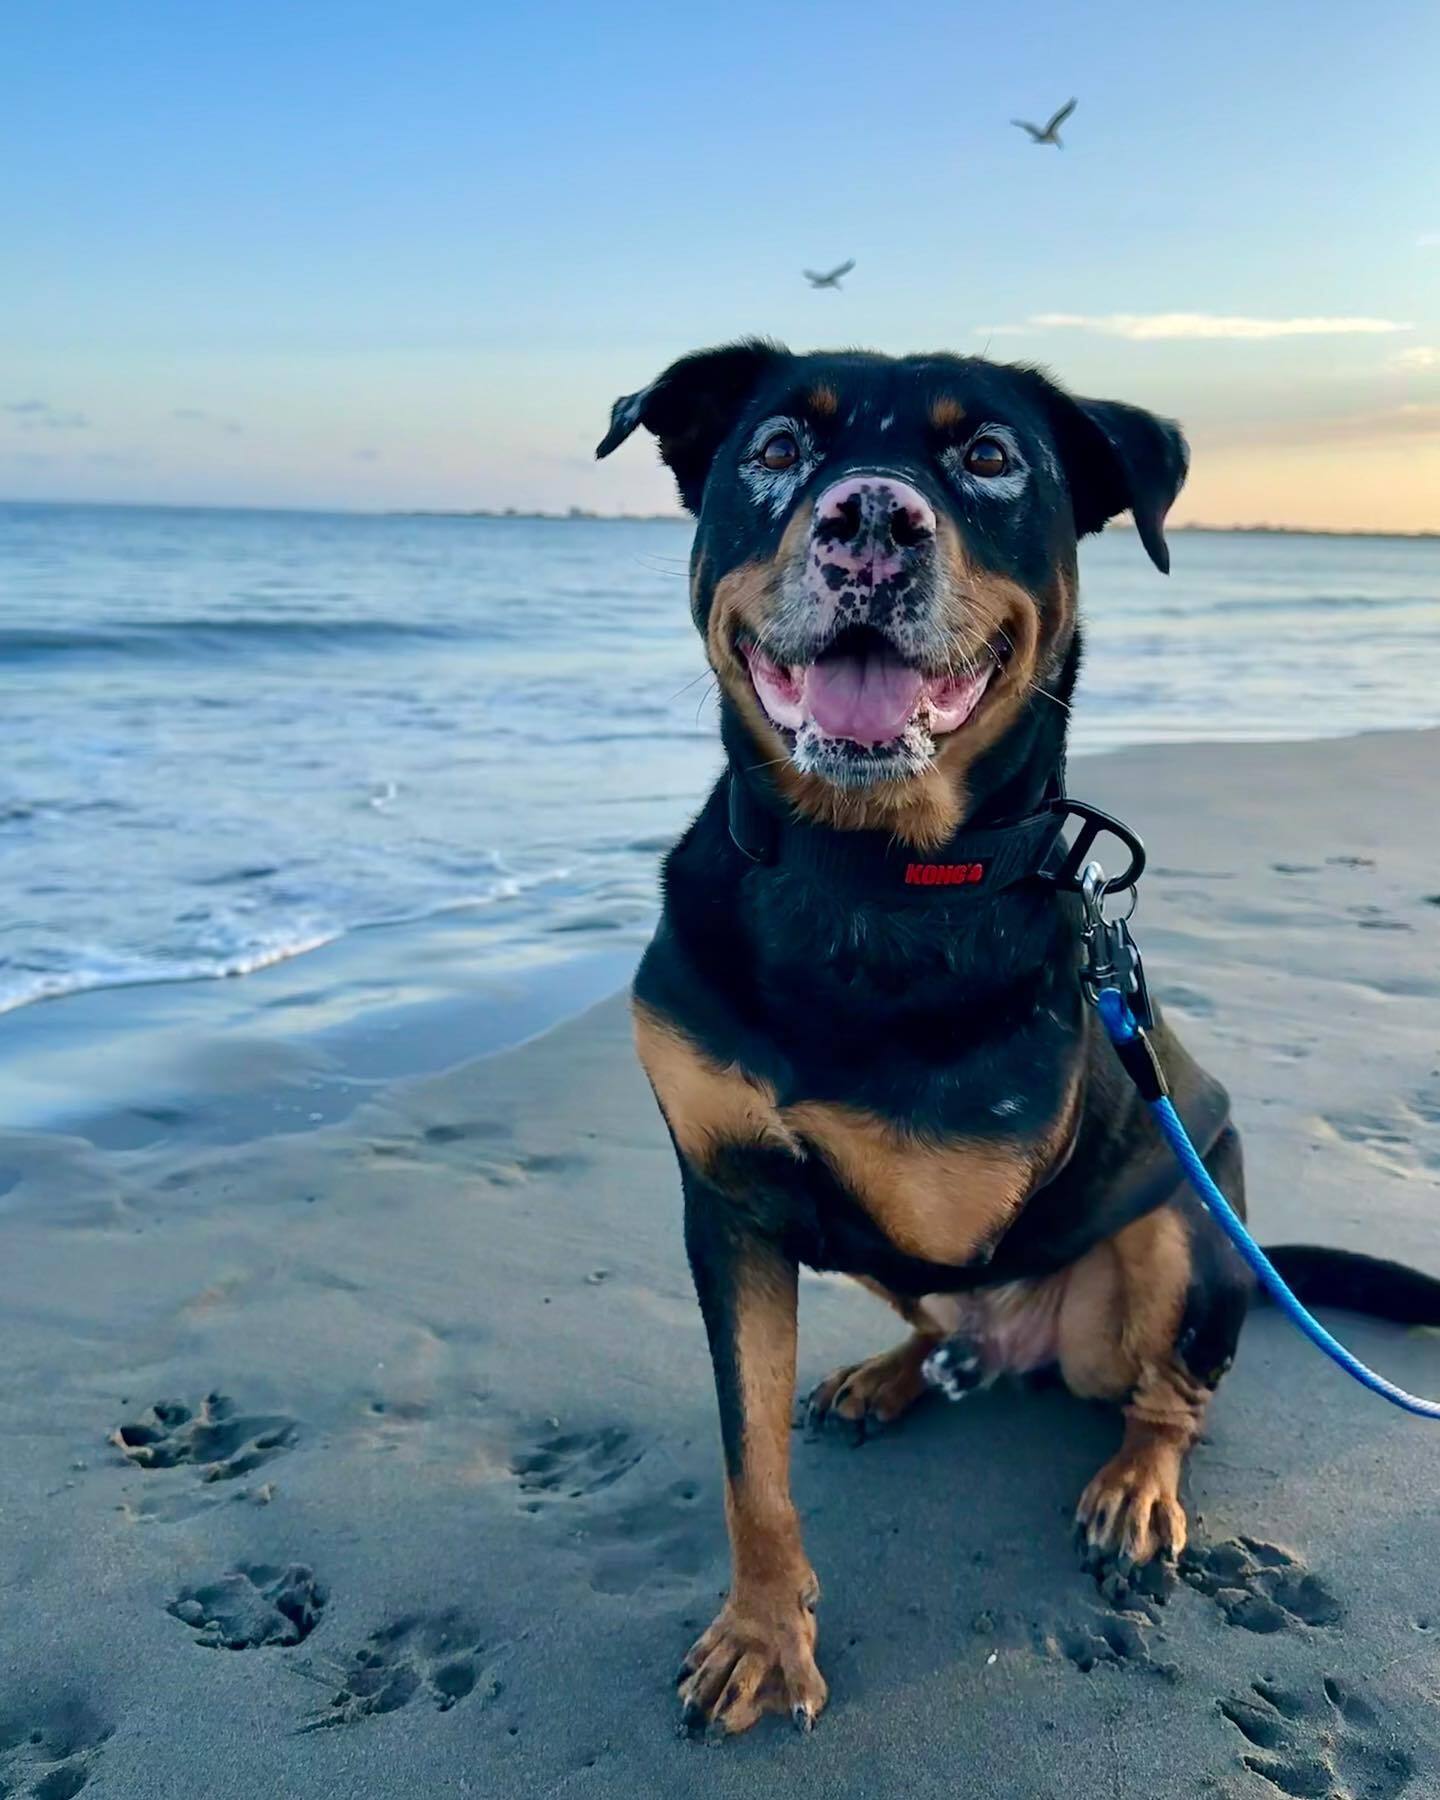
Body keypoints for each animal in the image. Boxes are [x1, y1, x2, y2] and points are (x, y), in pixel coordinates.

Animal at [597, 343, 1440, 1735]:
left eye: (990, 457)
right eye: (776, 448)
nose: (870, 520)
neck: (861, 874)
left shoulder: (949, 1189)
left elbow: (917, 1179)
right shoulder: (725, 1203)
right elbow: (747, 1459)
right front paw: (765, 1633)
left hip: (1185, 1229)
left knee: (1174, 1389)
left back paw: (1137, 1484)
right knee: (958, 1339)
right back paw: (896, 1373)